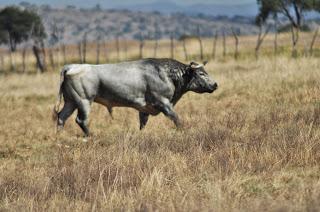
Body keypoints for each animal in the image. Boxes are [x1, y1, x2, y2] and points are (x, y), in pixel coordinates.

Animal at [53, 57, 218, 136]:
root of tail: (71, 66)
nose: (215, 84)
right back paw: (91, 136)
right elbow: (176, 119)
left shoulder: (144, 109)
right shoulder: (163, 103)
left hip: (71, 102)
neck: (166, 74)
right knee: (81, 120)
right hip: (84, 101)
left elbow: (142, 124)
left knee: (61, 117)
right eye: (201, 73)